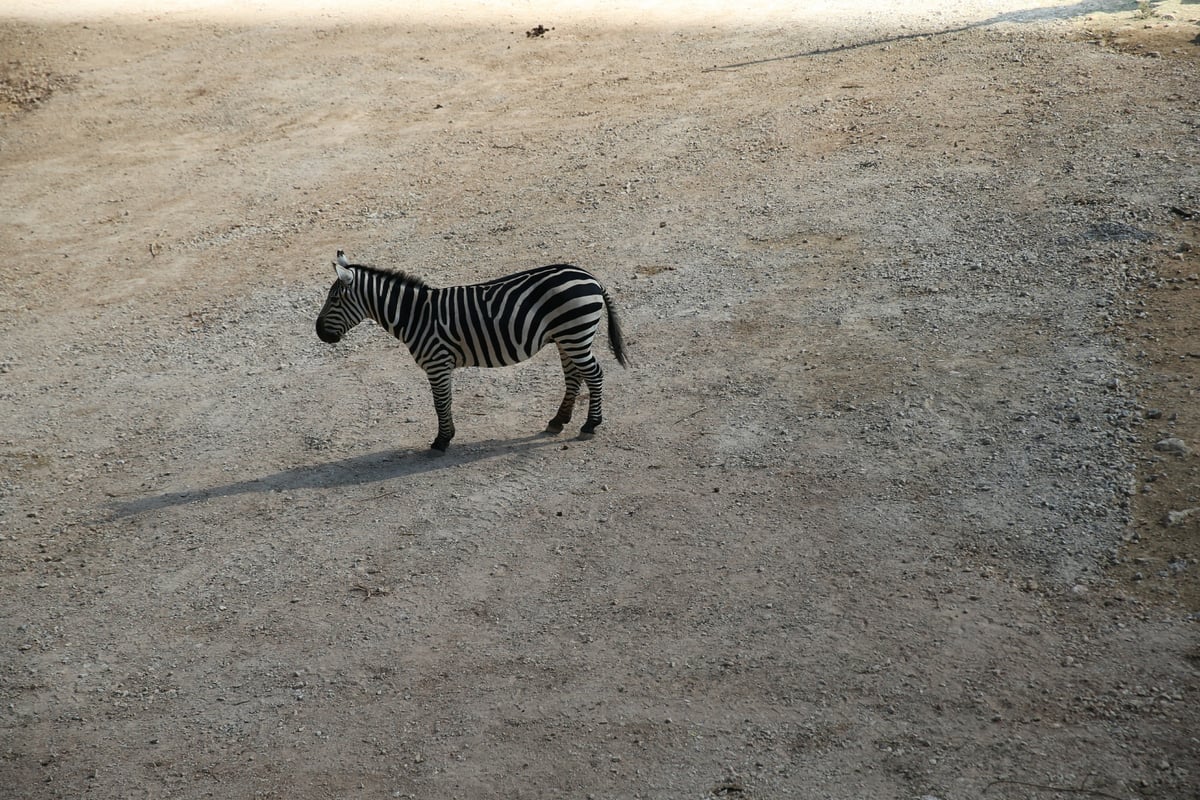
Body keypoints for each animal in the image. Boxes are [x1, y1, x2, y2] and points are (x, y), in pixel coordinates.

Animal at [314, 250, 628, 450]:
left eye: (334, 300)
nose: (318, 332)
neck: (415, 315)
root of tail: (591, 277)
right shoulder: (440, 365)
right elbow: (445, 401)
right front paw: (447, 436)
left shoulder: (437, 363)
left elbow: (441, 403)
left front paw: (442, 440)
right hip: (568, 337)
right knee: (575, 377)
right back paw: (558, 421)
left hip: (575, 333)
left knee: (595, 375)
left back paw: (590, 425)